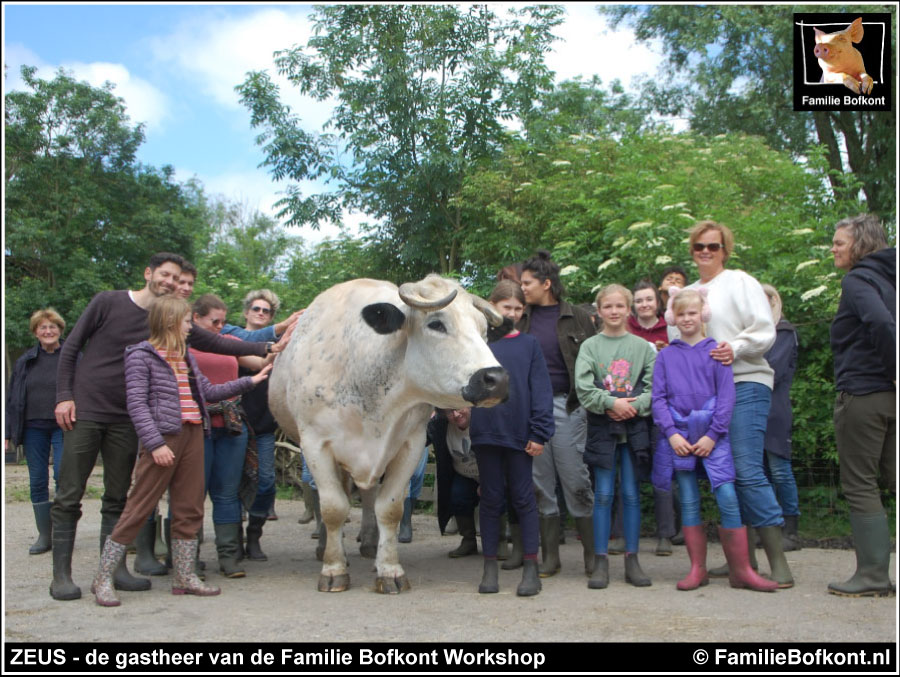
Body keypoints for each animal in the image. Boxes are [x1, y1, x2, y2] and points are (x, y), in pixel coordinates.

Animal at [268, 274, 506, 592]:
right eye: (436, 324)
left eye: (484, 330)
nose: (496, 379)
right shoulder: (315, 444)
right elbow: (333, 507)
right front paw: (333, 569)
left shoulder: (410, 444)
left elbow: (390, 508)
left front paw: (390, 570)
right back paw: (326, 548)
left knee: (368, 497)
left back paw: (370, 543)